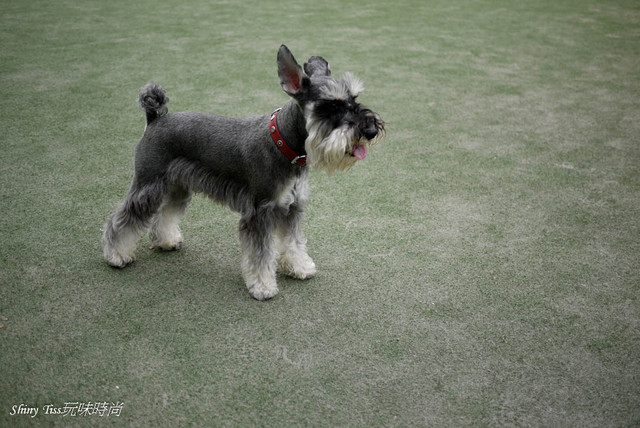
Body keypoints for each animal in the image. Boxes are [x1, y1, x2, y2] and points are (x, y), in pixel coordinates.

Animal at [101, 45, 384, 300]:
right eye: (330, 105)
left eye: (354, 99)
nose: (370, 130)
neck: (284, 144)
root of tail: (155, 118)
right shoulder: (260, 211)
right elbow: (262, 253)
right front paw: (263, 286)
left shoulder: (292, 207)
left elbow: (293, 242)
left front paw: (299, 267)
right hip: (148, 185)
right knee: (122, 219)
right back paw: (116, 255)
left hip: (177, 187)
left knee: (166, 212)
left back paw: (166, 240)